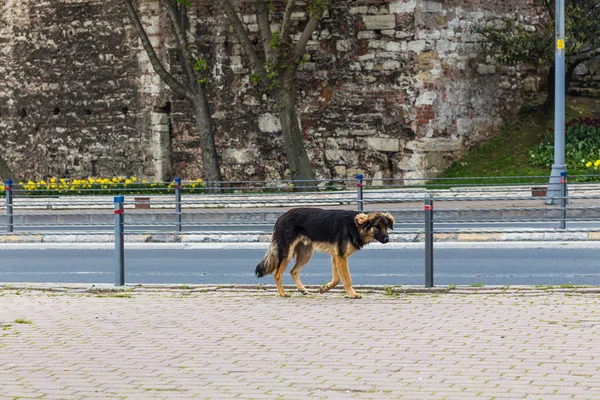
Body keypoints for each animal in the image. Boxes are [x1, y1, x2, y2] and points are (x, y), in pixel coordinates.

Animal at [254, 208, 392, 298]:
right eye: (377, 226)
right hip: (287, 253)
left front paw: (324, 289)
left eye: (386, 226)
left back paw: (302, 289)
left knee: (293, 271)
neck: (356, 226)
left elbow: (337, 279)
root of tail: (281, 217)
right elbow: (347, 279)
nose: (387, 239)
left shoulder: (336, 257)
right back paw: (282, 293)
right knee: (277, 274)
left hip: (306, 254)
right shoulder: (341, 257)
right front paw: (352, 294)